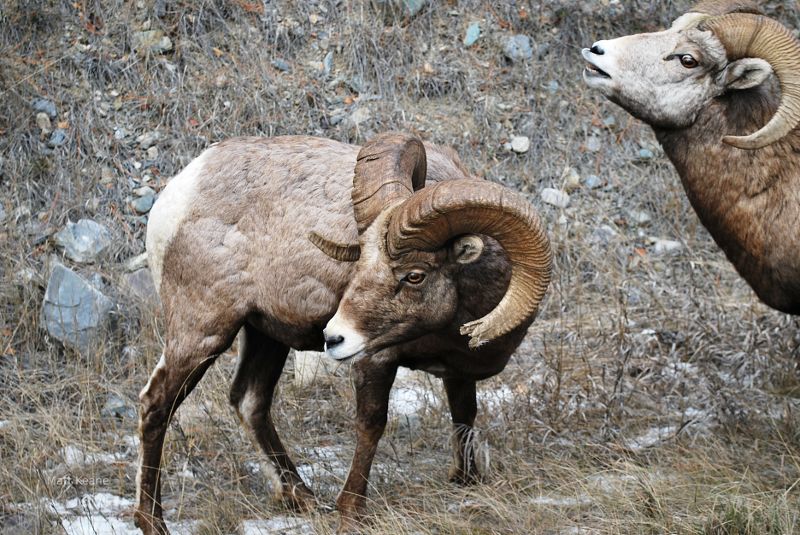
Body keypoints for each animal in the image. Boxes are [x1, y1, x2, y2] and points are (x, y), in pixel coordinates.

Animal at [134, 132, 552, 532]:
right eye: (360, 263)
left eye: (415, 276)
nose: (333, 338)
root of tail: (177, 196)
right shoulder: (376, 359)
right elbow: (371, 424)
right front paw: (351, 512)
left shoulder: (458, 373)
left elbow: (464, 416)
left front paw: (466, 482)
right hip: (203, 331)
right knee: (156, 404)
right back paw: (152, 521)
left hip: (265, 336)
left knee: (250, 402)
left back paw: (302, 498)